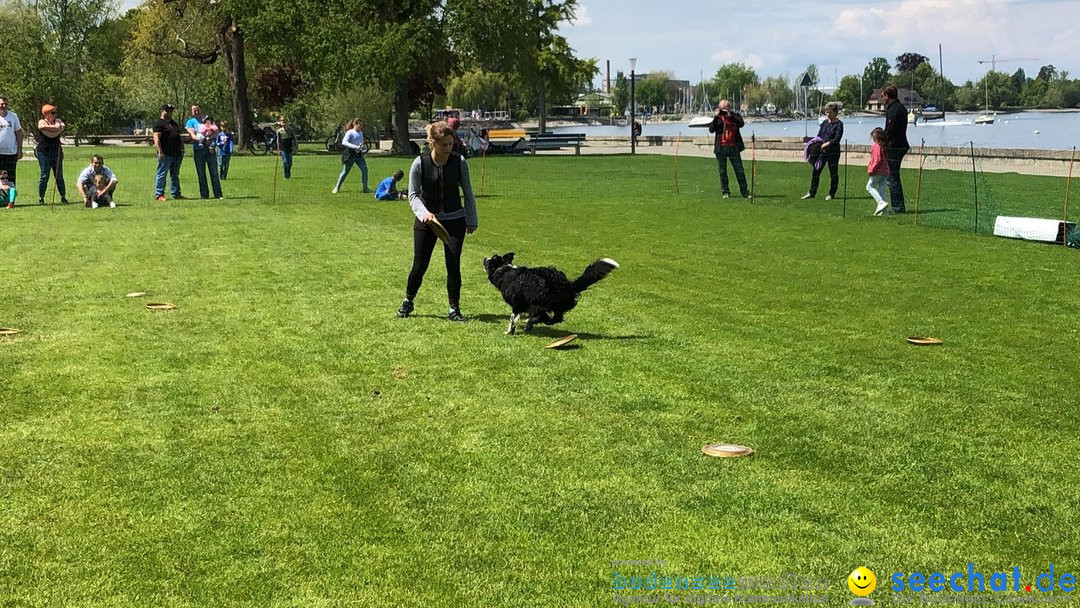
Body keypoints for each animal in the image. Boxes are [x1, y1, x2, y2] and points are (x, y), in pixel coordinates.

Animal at [486, 253, 622, 334]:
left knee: (547, 318)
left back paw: (533, 321)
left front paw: (509, 331)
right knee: (556, 318)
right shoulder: (526, 304)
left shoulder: (517, 304)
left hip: (542, 302)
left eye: (490, 260)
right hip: (555, 306)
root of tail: (568, 285)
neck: (505, 270)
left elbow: (512, 319)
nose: (484, 258)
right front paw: (526, 326)